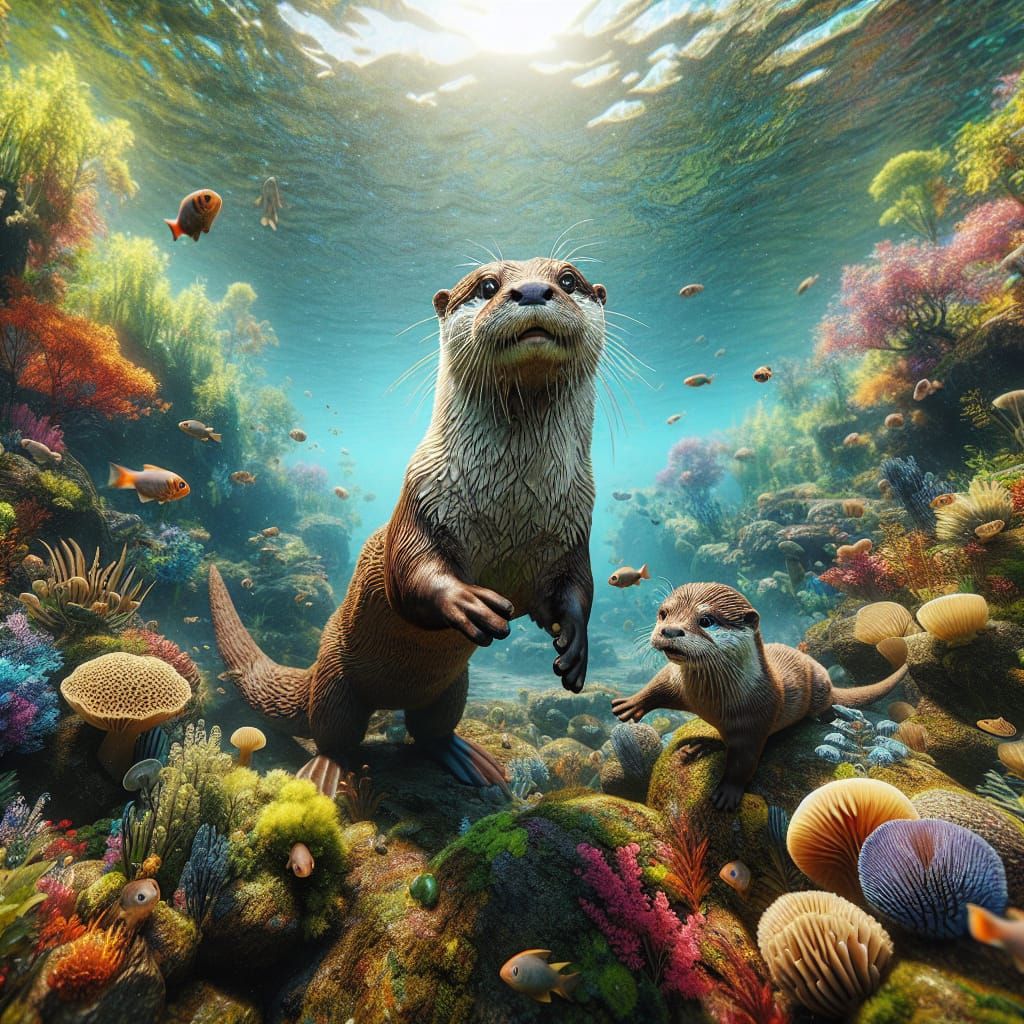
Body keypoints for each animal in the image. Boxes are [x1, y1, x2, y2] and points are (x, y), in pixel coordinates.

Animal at [210, 257, 607, 795]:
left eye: (568, 279)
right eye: (487, 285)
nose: (530, 290)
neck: (512, 507)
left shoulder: (575, 525)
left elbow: (575, 590)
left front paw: (575, 644)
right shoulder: (422, 499)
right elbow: (411, 572)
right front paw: (467, 601)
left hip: (452, 688)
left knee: (431, 728)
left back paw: (467, 759)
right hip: (336, 680)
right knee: (333, 731)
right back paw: (326, 774)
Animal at [611, 583, 909, 811]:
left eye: (706, 621)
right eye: (663, 613)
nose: (669, 630)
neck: (708, 699)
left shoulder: (755, 717)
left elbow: (744, 760)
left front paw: (728, 792)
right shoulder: (678, 682)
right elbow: (658, 685)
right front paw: (630, 705)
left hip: (819, 686)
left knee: (825, 703)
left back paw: (829, 716)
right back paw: (701, 746)